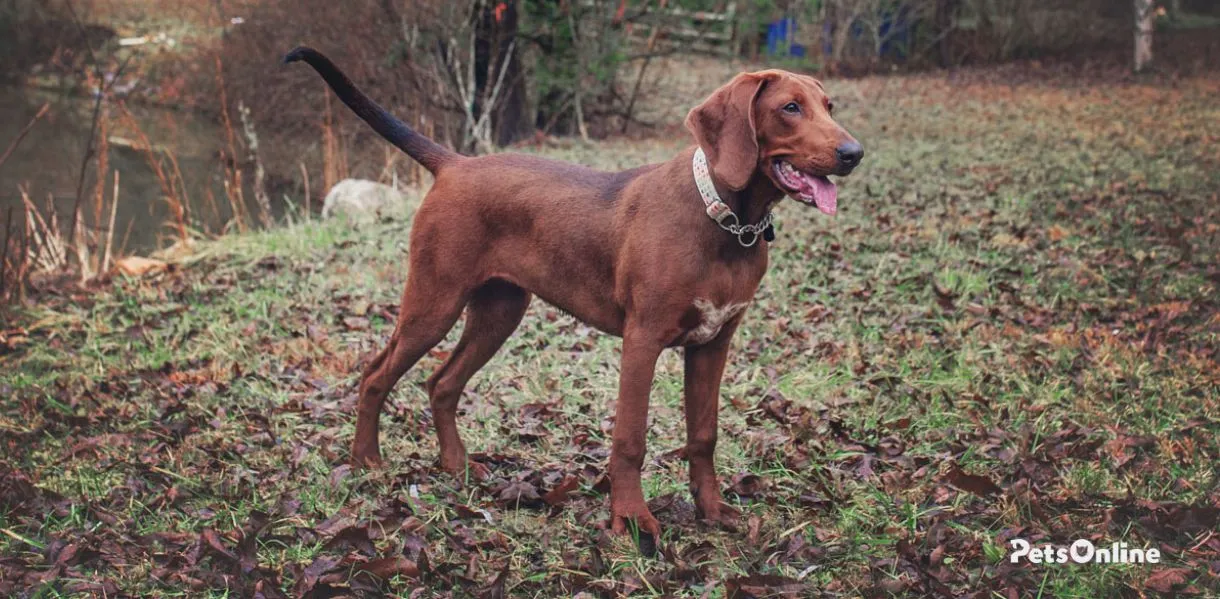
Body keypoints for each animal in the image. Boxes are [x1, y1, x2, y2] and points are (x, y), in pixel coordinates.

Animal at [284, 48, 858, 539]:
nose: (854, 153)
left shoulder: (713, 343)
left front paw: (712, 511)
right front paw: (631, 521)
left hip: (498, 312)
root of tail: (456, 163)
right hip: (433, 301)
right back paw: (367, 462)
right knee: (376, 375)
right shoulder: (643, 340)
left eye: (829, 106)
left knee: (442, 383)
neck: (725, 221)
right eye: (789, 108)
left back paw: (457, 466)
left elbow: (704, 435)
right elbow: (630, 438)